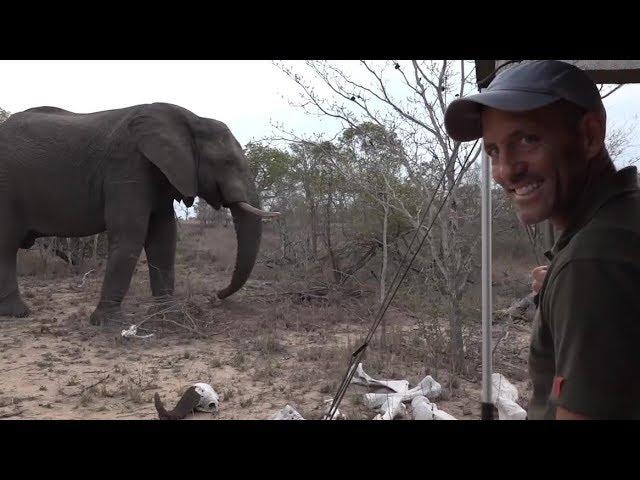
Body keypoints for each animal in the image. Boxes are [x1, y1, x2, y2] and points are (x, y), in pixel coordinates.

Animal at [0, 103, 278, 324]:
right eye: (227, 162)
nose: (216, 295)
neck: (191, 119)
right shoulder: (127, 165)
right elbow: (130, 234)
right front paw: (109, 324)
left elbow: (163, 238)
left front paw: (169, 316)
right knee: (6, 246)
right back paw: (19, 313)